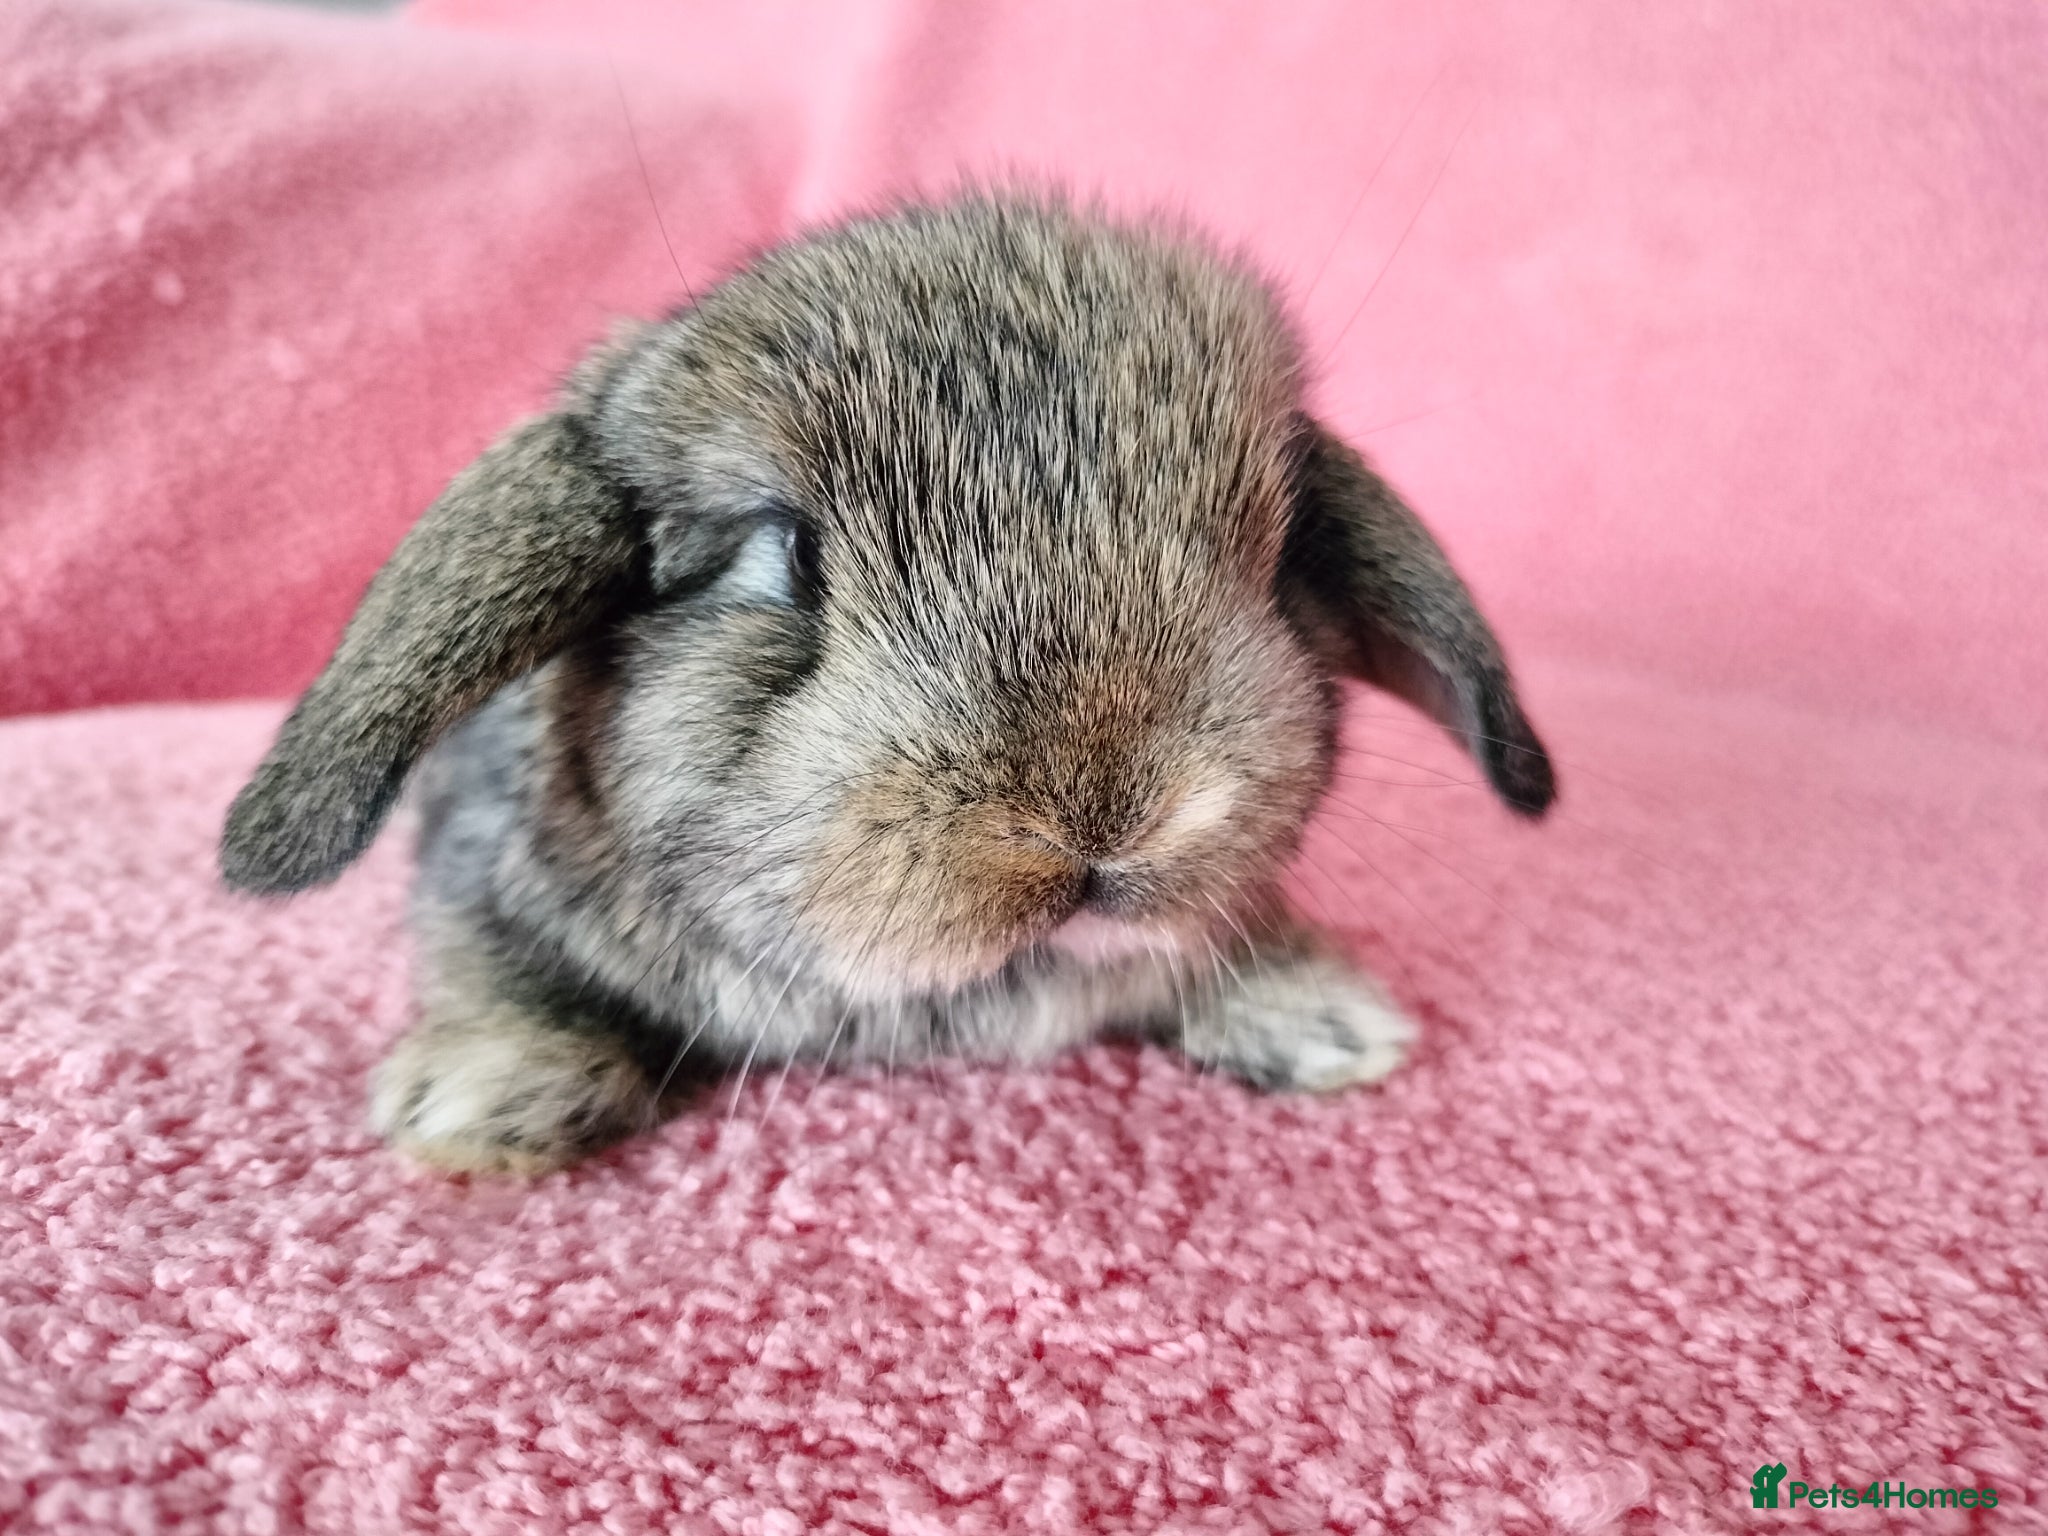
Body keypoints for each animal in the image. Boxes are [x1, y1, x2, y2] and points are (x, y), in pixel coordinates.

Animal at [220, 192, 1554, 1175]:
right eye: (781, 554)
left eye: (1274, 561)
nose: (1103, 817)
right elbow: (492, 964)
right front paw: (487, 1093)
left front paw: (1326, 1021)